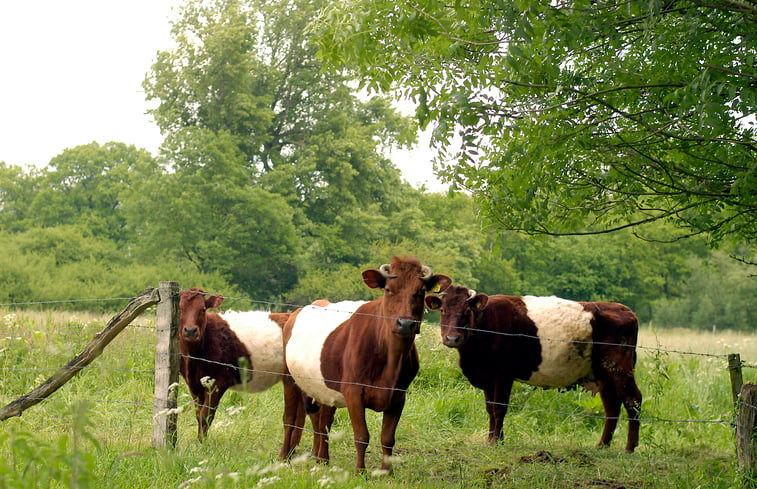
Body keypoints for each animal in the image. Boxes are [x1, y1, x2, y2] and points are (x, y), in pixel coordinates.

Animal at [179, 288, 290, 440]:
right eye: (180, 308)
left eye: (203, 309)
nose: (190, 330)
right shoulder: (194, 386)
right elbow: (198, 415)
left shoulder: (217, 383)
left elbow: (205, 417)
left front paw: (202, 443)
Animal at [280, 258, 452, 470]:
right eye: (388, 289)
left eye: (420, 291)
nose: (405, 324)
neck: (391, 363)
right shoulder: (353, 391)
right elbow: (362, 436)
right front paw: (359, 471)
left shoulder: (399, 396)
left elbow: (387, 438)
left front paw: (386, 472)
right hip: (289, 378)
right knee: (290, 418)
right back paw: (284, 456)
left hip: (324, 386)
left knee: (322, 420)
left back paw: (322, 459)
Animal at [422, 284, 640, 452]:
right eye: (443, 311)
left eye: (467, 311)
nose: (452, 338)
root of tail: (626, 310)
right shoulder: (488, 376)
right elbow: (490, 408)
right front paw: (493, 438)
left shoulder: (503, 374)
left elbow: (499, 408)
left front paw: (496, 441)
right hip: (604, 375)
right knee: (612, 407)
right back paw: (602, 445)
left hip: (619, 368)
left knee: (633, 400)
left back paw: (629, 448)